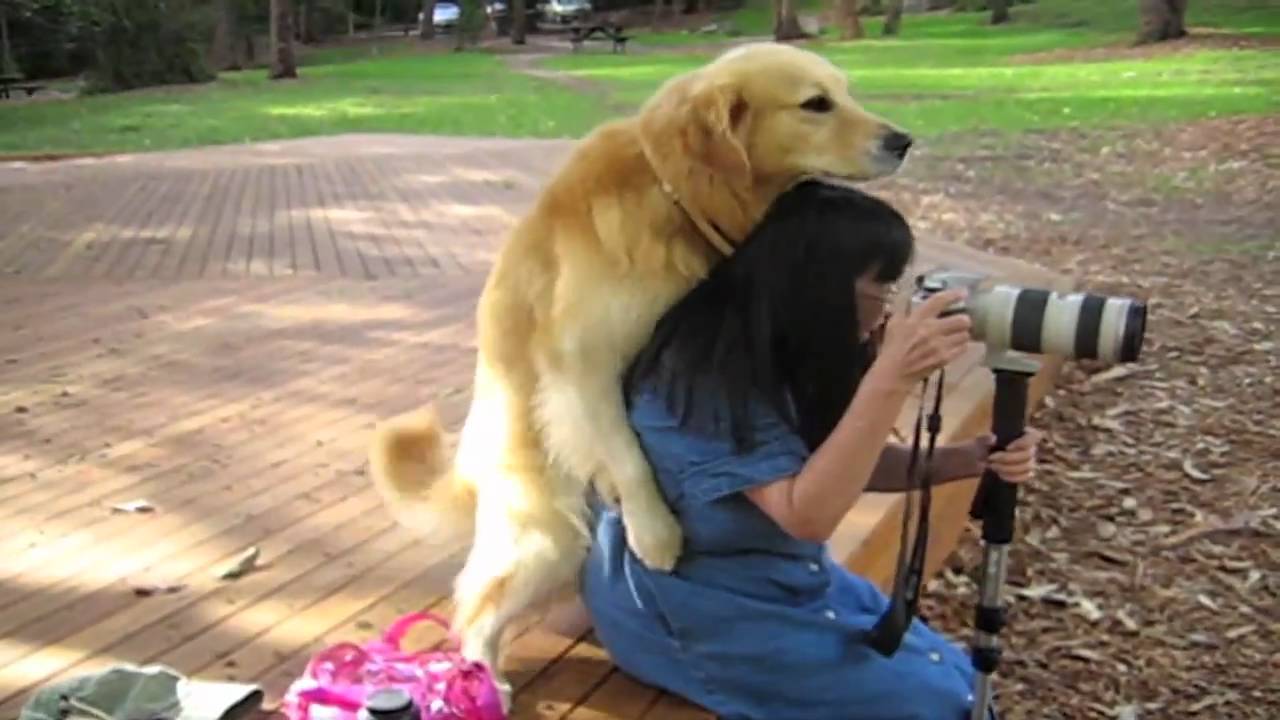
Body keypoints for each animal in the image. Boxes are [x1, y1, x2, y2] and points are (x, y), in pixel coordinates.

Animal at [368, 41, 913, 702]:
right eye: (816, 103)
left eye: (846, 92)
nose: (904, 141)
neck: (675, 193)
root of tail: (470, 462)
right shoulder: (581, 358)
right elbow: (628, 454)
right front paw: (656, 533)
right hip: (547, 536)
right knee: (476, 607)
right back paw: (485, 676)